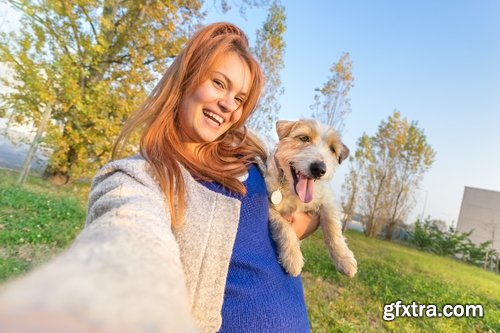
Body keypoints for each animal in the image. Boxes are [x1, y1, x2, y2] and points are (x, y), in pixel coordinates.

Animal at [266, 118, 356, 276]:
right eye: (304, 138)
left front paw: (344, 260)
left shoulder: (327, 201)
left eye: (332, 149)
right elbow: (283, 225)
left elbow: (332, 228)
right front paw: (293, 257)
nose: (319, 169)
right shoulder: (268, 206)